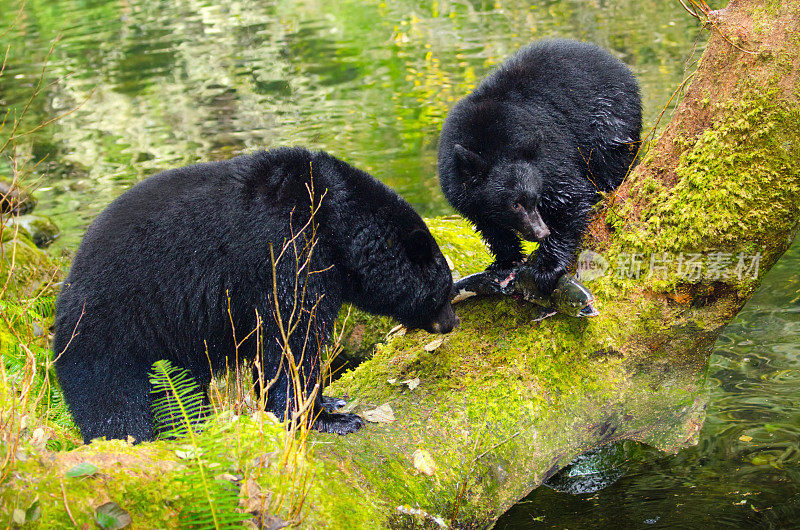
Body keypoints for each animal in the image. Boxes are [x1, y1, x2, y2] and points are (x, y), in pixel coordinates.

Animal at [53, 146, 456, 440]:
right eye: (443, 288)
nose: (451, 322)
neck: (330, 216)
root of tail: (66, 290)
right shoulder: (288, 251)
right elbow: (292, 338)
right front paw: (327, 419)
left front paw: (331, 401)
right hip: (117, 331)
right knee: (116, 403)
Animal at [438, 38, 644, 290]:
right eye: (514, 205)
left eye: (535, 198)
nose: (541, 232)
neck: (488, 143)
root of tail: (620, 66)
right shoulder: (461, 188)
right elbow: (489, 225)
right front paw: (505, 262)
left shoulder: (548, 158)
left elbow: (569, 197)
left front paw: (547, 267)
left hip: (610, 120)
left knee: (611, 163)